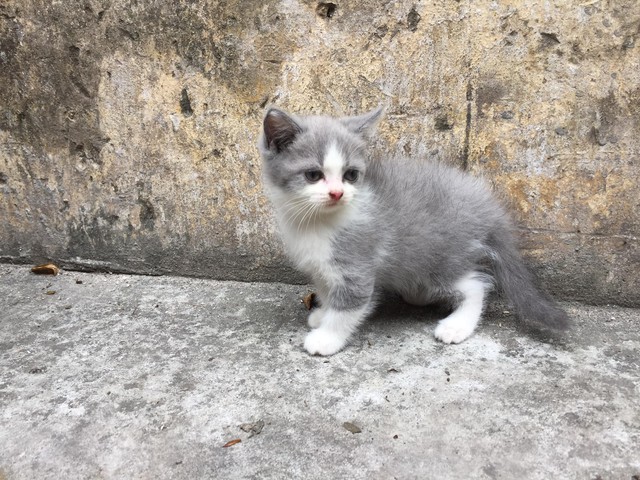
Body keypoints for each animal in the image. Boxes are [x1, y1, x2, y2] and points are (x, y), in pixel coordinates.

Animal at [258, 109, 568, 356]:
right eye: (313, 175)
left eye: (350, 175)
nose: (337, 193)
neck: (316, 221)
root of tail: (486, 205)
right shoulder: (322, 267)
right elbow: (326, 289)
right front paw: (322, 314)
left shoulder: (357, 265)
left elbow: (349, 306)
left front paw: (326, 338)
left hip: (441, 259)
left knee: (477, 285)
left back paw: (457, 326)